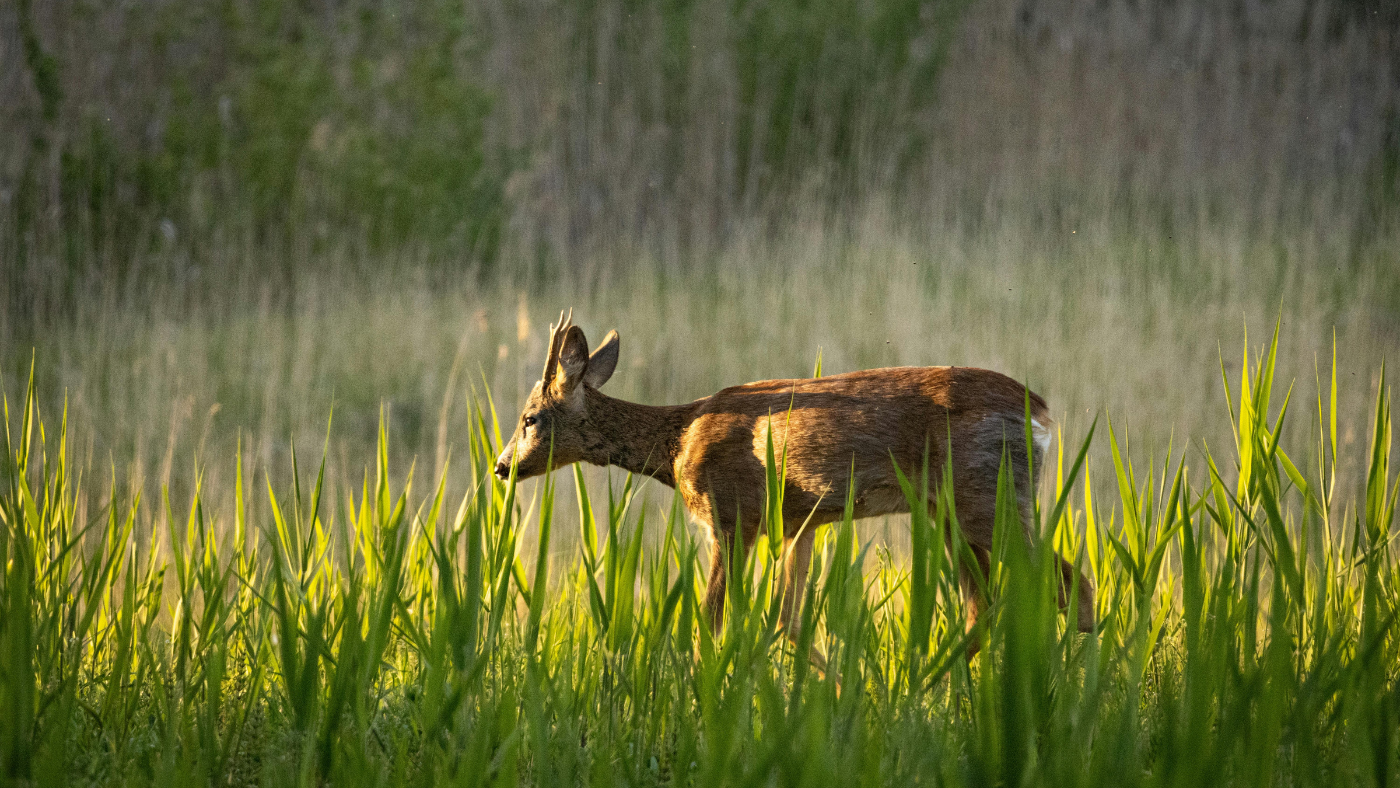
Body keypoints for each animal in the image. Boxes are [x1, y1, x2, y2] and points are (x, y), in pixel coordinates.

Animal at [493, 313, 1095, 663]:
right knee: (986, 606)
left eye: (529, 418)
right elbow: (790, 623)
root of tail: (1040, 412)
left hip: (986, 497)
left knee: (1074, 583)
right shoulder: (800, 522)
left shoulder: (731, 516)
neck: (677, 441)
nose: (499, 467)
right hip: (951, 509)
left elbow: (710, 623)